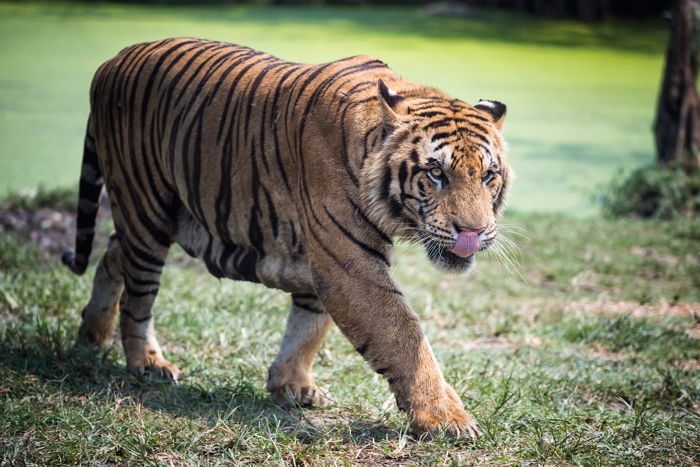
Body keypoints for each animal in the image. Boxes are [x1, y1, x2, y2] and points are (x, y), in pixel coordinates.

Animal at [63, 38, 512, 440]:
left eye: (488, 175)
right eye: (437, 173)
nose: (473, 232)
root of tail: (113, 60)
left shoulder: (322, 257)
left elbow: (308, 324)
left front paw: (291, 385)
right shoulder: (347, 263)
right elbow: (404, 337)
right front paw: (447, 419)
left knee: (113, 251)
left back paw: (92, 334)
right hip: (146, 206)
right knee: (138, 295)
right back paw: (147, 363)